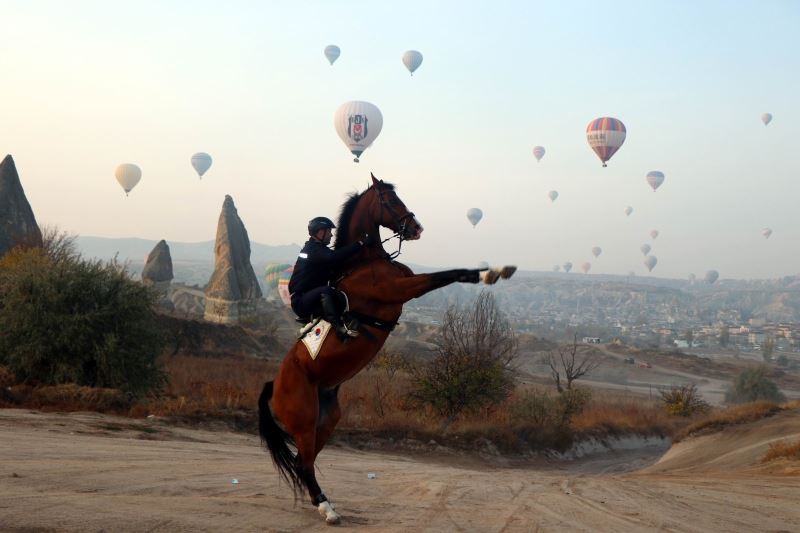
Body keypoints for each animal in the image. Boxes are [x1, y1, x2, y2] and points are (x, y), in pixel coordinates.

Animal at [260, 172, 516, 520]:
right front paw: (492, 272)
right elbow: (445, 275)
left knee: (305, 461)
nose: (416, 228)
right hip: (303, 420)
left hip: (326, 418)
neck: (364, 260)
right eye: (391, 200)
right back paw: (327, 509)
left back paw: (324, 502)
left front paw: (496, 271)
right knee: (304, 463)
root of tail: (274, 385)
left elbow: (457, 274)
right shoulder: (402, 288)